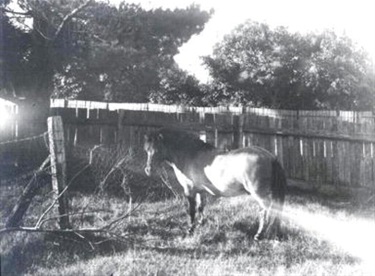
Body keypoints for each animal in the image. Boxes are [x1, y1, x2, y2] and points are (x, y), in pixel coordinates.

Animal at [145, 128, 288, 240]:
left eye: (157, 150)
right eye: (147, 150)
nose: (148, 170)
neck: (190, 154)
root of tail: (270, 157)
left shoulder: (189, 190)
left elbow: (191, 211)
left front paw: (190, 230)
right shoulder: (200, 191)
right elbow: (201, 207)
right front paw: (201, 223)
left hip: (260, 195)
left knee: (265, 212)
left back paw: (259, 235)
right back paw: (275, 235)